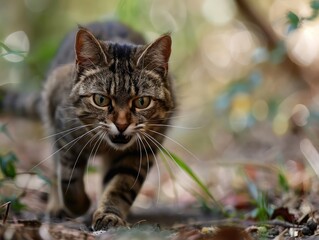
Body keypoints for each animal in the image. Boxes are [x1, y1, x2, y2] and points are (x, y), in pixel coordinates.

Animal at [0, 22, 175, 231]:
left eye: (142, 102)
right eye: (100, 99)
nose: (122, 125)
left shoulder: (140, 151)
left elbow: (121, 186)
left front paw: (110, 214)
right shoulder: (64, 135)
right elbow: (68, 178)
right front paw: (79, 205)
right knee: (56, 172)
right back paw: (57, 207)